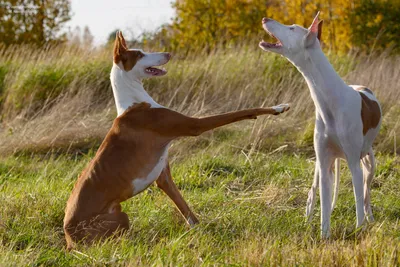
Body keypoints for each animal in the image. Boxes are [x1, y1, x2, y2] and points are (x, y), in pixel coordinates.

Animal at [62, 31, 290, 249]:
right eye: (140, 54)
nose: (168, 54)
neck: (134, 102)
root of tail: (69, 240)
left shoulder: (163, 177)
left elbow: (185, 209)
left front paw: (199, 231)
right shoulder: (194, 125)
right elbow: (239, 112)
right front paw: (277, 107)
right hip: (118, 217)